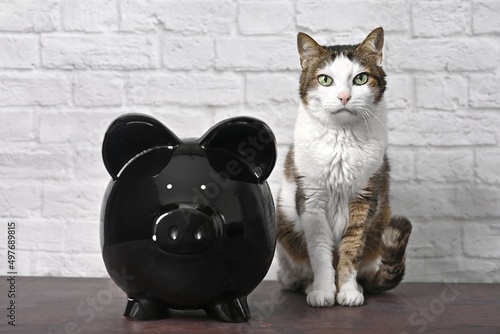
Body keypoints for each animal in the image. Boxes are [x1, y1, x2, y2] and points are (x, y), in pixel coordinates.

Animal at [276, 27, 412, 306]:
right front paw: (323, 291)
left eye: (360, 79)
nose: (344, 96)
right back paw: (305, 284)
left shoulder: (365, 197)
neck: (341, 139)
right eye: (325, 80)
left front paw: (347, 291)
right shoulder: (311, 199)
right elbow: (319, 252)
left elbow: (352, 248)